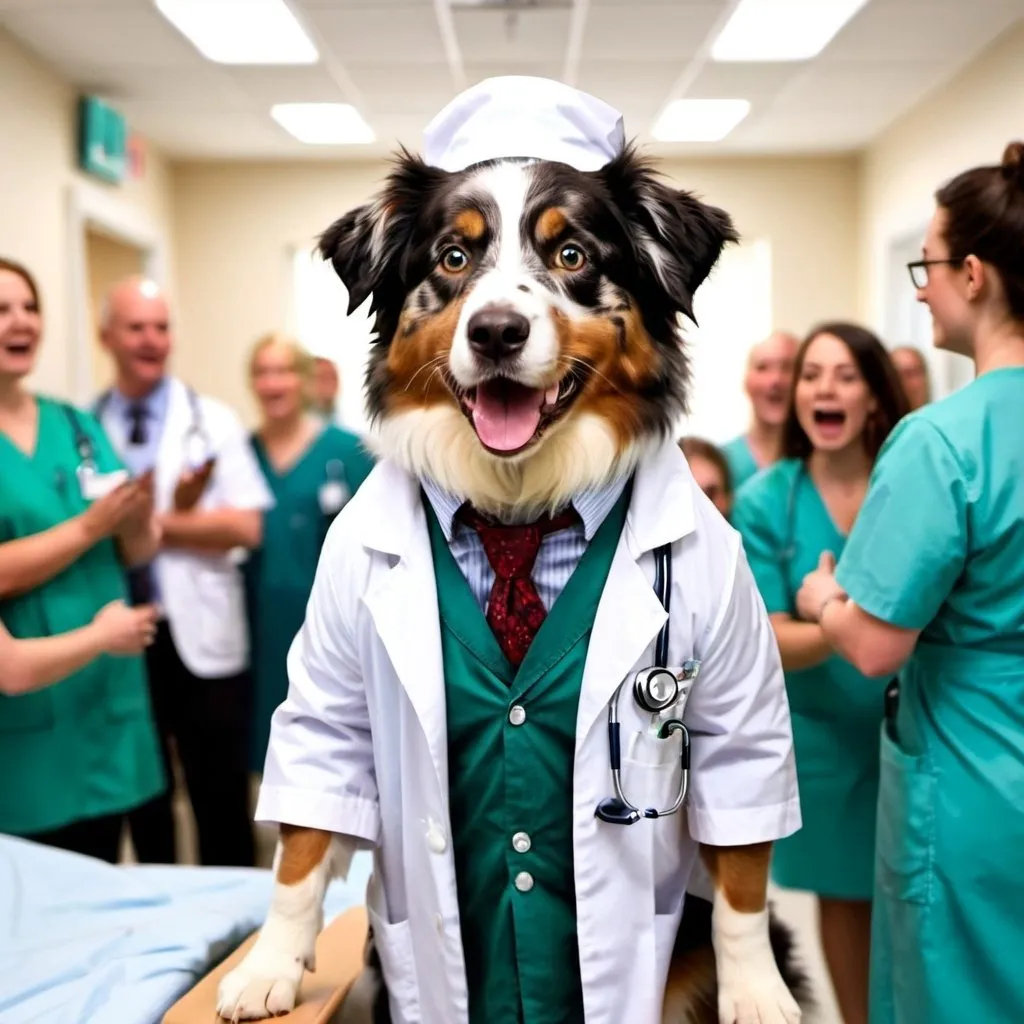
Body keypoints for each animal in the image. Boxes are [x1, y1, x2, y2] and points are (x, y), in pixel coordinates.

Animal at [216, 146, 806, 1024]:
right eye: (454, 258)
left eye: (572, 255)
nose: (497, 330)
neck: (518, 503)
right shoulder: (333, 683)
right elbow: (305, 825)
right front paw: (270, 963)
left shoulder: (740, 693)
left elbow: (741, 856)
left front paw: (757, 989)